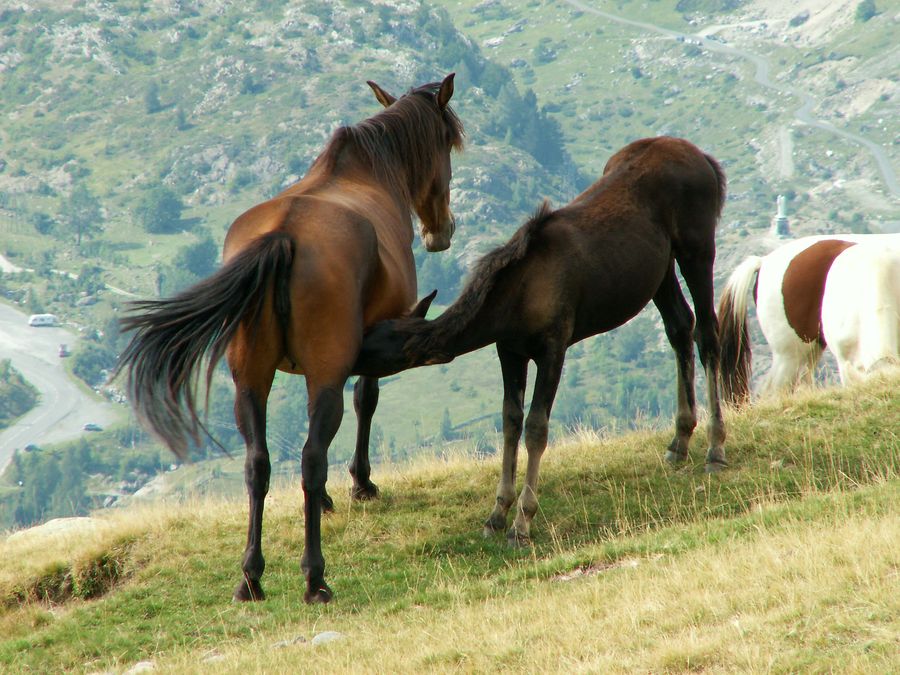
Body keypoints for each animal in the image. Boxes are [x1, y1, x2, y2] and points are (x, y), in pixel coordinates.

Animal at [116, 75, 464, 608]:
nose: (441, 231)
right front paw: (361, 483)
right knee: (311, 458)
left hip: (250, 380)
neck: (366, 173)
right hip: (323, 374)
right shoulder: (363, 350)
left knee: (257, 465)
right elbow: (366, 400)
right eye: (446, 144)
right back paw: (314, 576)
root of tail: (284, 237)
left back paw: (250, 576)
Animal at [356, 139, 728, 548]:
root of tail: (706, 160)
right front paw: (497, 513)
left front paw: (522, 522)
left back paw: (715, 448)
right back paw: (680, 440)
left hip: (697, 248)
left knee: (707, 332)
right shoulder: (509, 351)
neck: (514, 300)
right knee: (679, 327)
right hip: (660, 271)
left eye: (372, 345)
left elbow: (536, 428)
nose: (342, 356)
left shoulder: (554, 346)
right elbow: (510, 422)